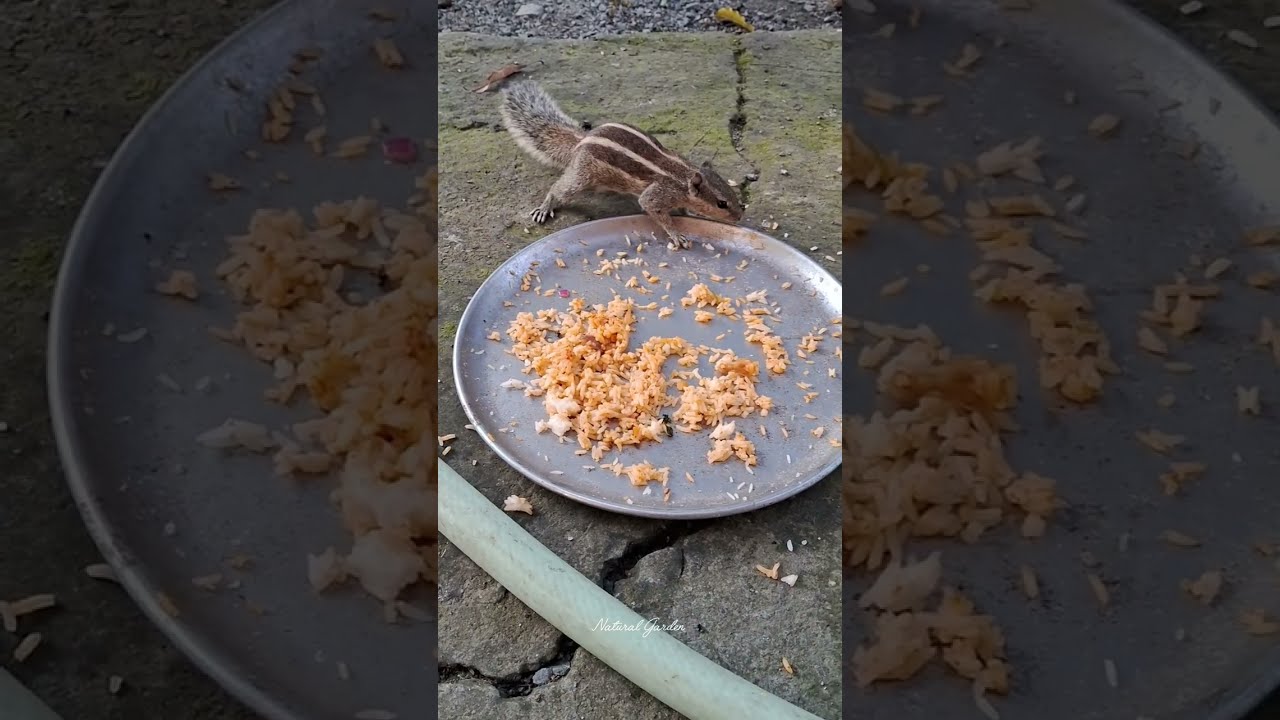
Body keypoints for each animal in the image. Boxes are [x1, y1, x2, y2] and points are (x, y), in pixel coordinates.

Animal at [498, 80, 744, 249]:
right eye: (722, 203)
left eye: (732, 194)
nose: (739, 217)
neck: (682, 177)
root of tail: (582, 139)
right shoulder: (657, 194)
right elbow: (654, 210)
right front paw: (676, 234)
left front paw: (689, 213)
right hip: (582, 175)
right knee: (560, 189)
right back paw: (545, 207)